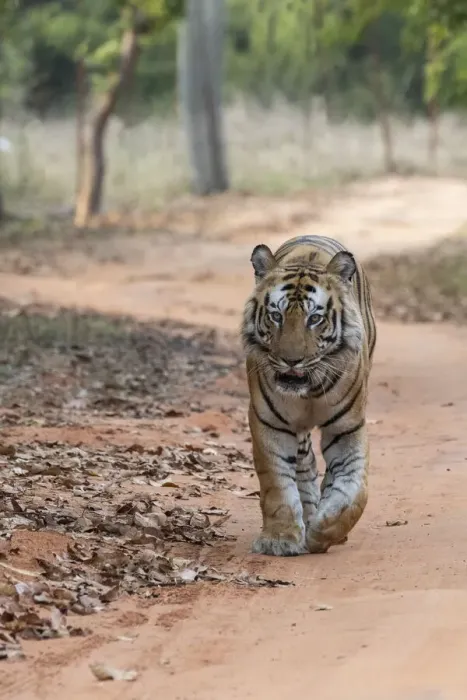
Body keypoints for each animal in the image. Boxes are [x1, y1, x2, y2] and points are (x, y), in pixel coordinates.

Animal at [241, 234, 377, 556]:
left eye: (315, 318)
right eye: (276, 316)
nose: (291, 360)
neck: (309, 389)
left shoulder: (347, 427)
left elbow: (355, 490)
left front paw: (325, 531)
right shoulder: (270, 423)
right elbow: (277, 483)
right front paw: (279, 538)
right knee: (304, 466)